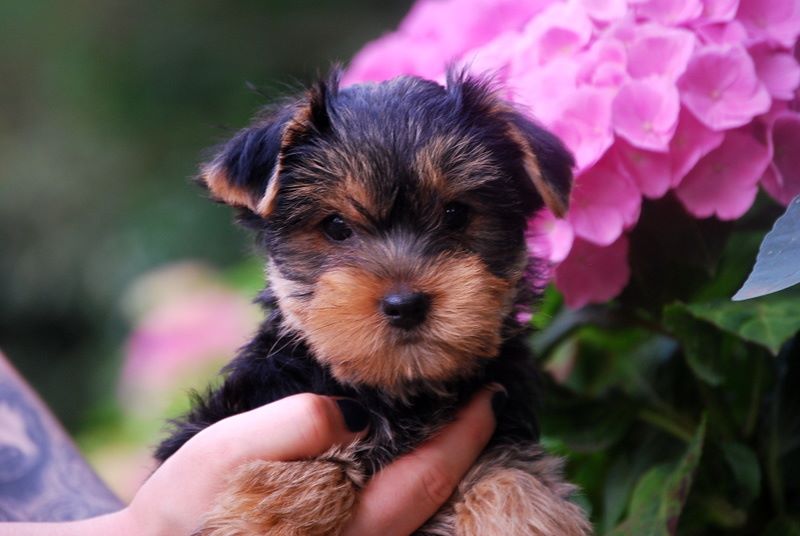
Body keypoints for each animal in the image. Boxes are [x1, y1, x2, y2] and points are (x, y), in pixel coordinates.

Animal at [155, 69, 591, 535]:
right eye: (335, 226)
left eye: (456, 214)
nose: (405, 304)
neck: (398, 394)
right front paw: (275, 513)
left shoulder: (503, 427)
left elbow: (514, 472)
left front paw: (515, 514)